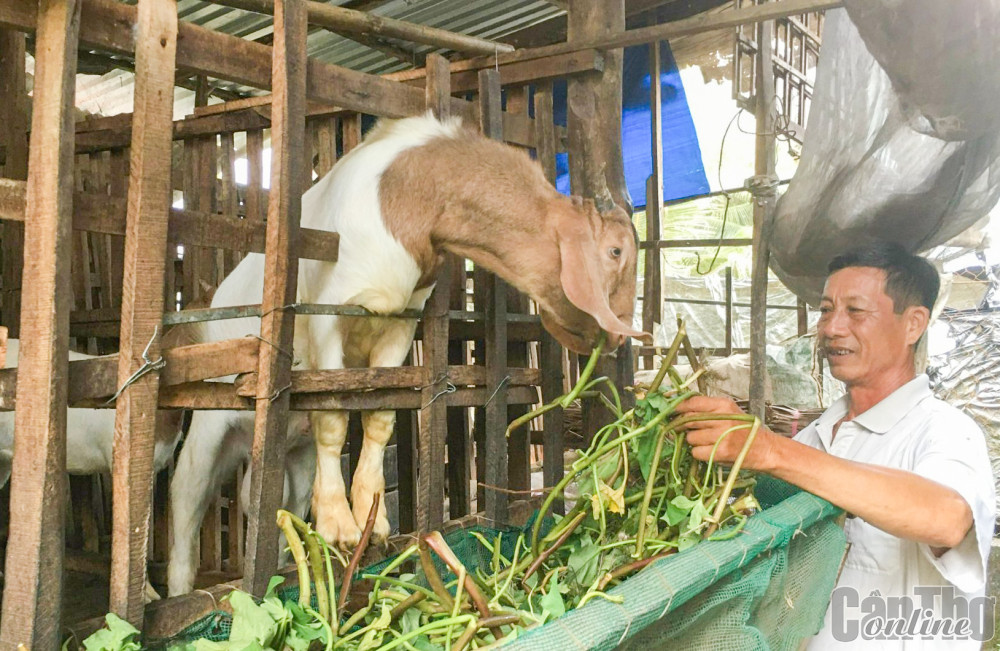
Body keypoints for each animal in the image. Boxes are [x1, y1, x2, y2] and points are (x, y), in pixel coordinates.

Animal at [166, 111, 648, 596]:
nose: (619, 338)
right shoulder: (328, 313)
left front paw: (373, 520)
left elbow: (381, 416)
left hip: (291, 453)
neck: (400, 202)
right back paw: (179, 591)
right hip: (208, 428)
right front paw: (341, 528)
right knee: (184, 508)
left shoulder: (403, 320)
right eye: (616, 251)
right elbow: (334, 414)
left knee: (270, 502)